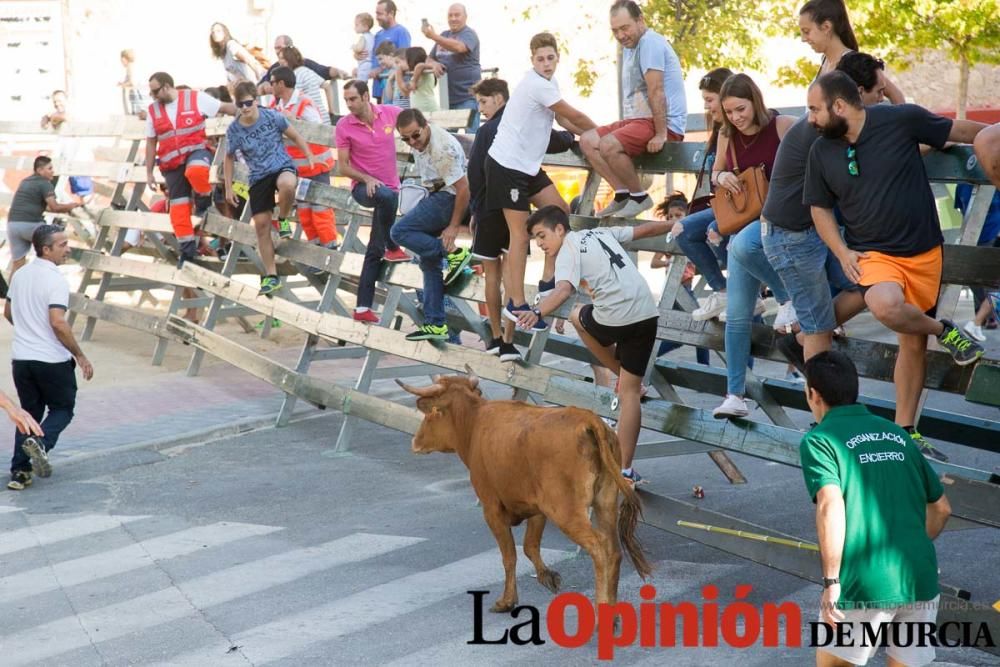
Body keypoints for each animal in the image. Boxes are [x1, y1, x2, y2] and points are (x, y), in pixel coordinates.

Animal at [394, 368, 652, 612]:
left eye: (431, 413)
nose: (415, 442)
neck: (475, 423)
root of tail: (588, 421)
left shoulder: (492, 508)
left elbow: (510, 556)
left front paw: (507, 600)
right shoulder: (537, 508)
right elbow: (530, 546)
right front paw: (548, 576)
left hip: (567, 511)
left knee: (600, 548)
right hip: (605, 502)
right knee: (614, 551)